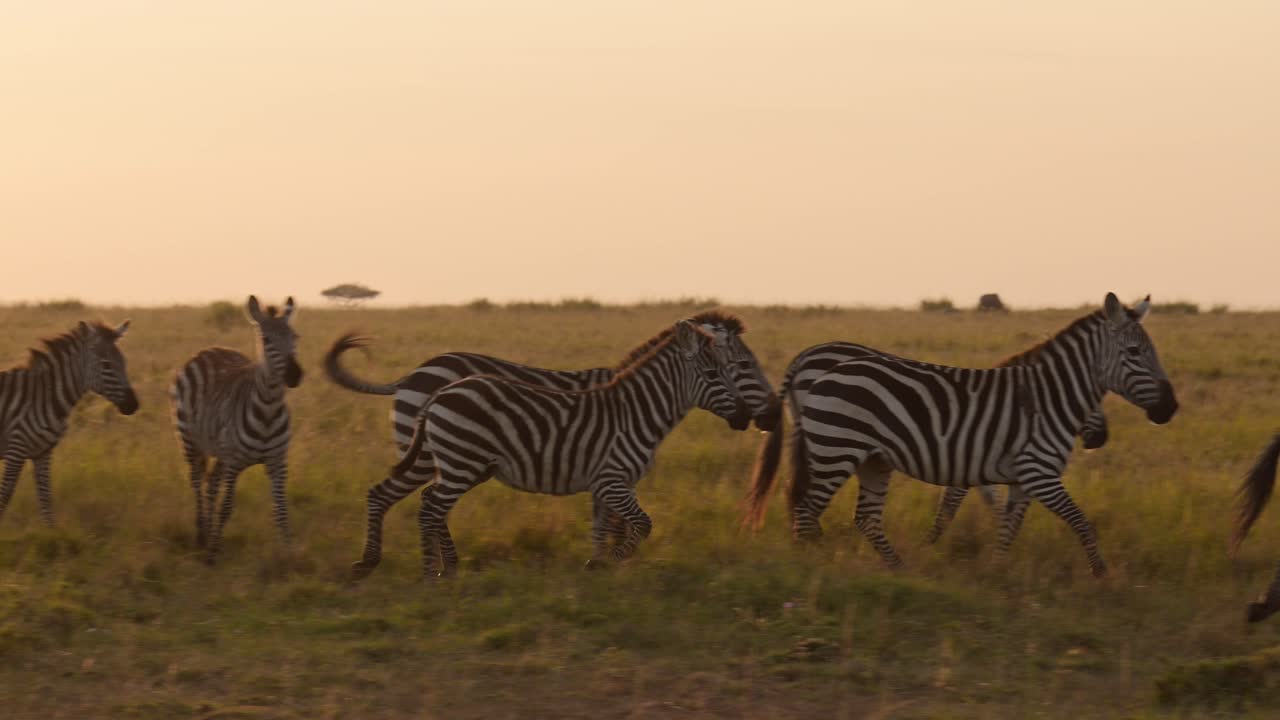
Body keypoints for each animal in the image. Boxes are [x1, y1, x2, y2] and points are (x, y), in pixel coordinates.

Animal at [0, 321, 138, 526]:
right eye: (106, 365)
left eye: (124, 362)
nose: (133, 405)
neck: (44, 398)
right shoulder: (16, 449)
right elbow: (6, 495)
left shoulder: (43, 452)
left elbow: (45, 498)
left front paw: (51, 531)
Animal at [170, 296, 302, 563]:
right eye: (266, 340)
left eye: (295, 337)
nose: (295, 375)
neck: (269, 411)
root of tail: (211, 349)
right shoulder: (234, 462)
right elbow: (227, 506)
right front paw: (212, 554)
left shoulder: (278, 462)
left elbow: (281, 509)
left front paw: (287, 552)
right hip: (189, 439)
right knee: (197, 481)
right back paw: (202, 534)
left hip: (219, 451)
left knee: (211, 484)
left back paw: (208, 532)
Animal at [324, 310, 778, 577]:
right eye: (735, 367)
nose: (765, 417)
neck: (636, 406)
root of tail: (420, 379)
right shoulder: (613, 478)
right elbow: (638, 524)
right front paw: (614, 562)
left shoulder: (607, 482)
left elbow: (604, 526)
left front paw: (598, 564)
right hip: (444, 459)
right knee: (420, 503)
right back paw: (430, 567)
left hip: (447, 461)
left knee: (407, 500)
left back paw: (416, 564)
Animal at [747, 340, 1113, 546]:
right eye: (1088, 401)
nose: (1101, 438)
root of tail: (803, 356)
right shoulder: (966, 455)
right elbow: (953, 503)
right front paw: (932, 542)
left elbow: (987, 497)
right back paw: (811, 535)